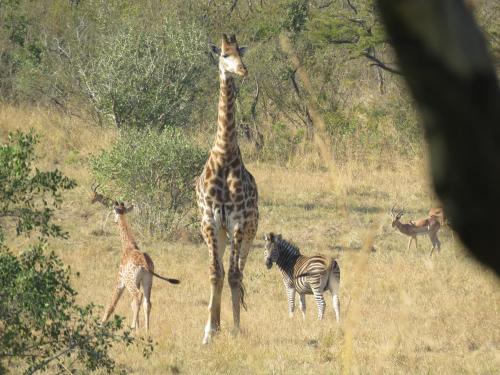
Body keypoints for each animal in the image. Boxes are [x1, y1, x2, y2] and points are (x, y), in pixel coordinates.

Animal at [94, 200, 179, 332]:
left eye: (113, 211)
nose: (114, 220)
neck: (128, 246)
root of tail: (145, 265)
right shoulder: (138, 281)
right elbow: (133, 304)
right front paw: (138, 329)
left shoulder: (120, 280)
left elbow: (112, 303)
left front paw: (102, 324)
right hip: (148, 281)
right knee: (146, 302)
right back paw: (146, 330)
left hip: (130, 282)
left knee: (137, 297)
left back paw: (133, 326)